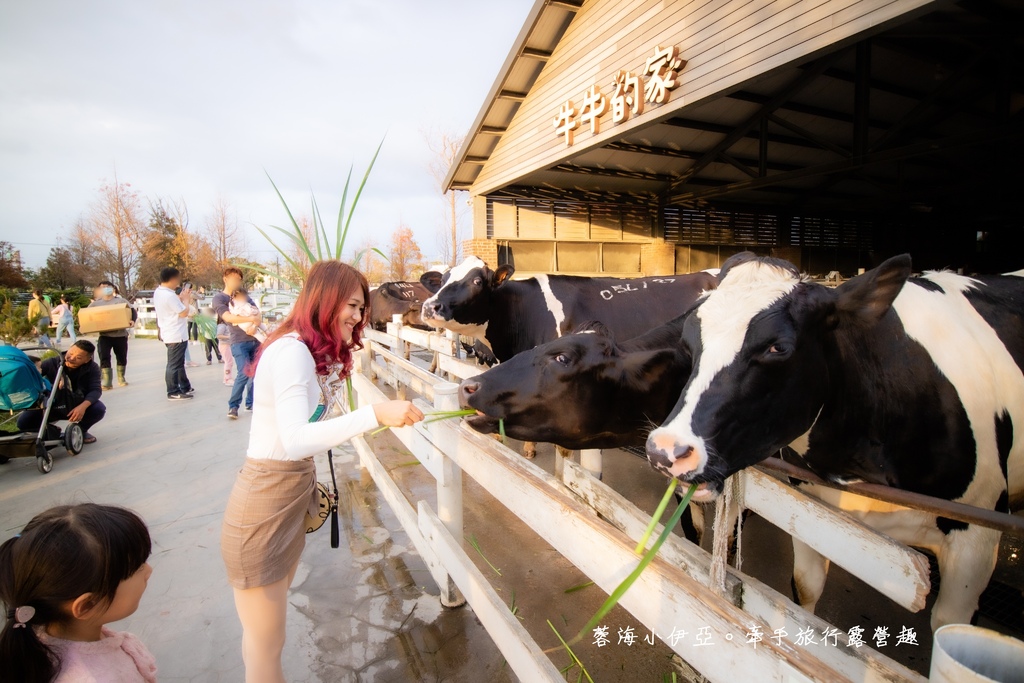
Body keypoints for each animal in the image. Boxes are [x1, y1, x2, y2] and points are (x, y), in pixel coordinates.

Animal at [647, 252, 1024, 630]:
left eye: (777, 347)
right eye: (689, 343)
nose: (665, 450)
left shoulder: (975, 539)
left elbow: (950, 624)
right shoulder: (811, 509)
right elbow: (806, 588)